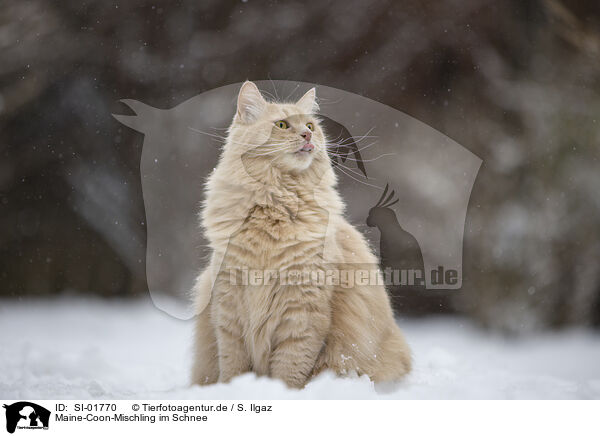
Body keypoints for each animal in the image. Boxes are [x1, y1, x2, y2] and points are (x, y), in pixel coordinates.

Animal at [192, 82, 412, 388]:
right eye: (282, 125)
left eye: (310, 125)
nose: (307, 135)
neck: (275, 210)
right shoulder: (228, 307)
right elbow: (232, 367)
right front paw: (232, 389)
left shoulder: (303, 310)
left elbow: (290, 368)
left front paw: (282, 392)